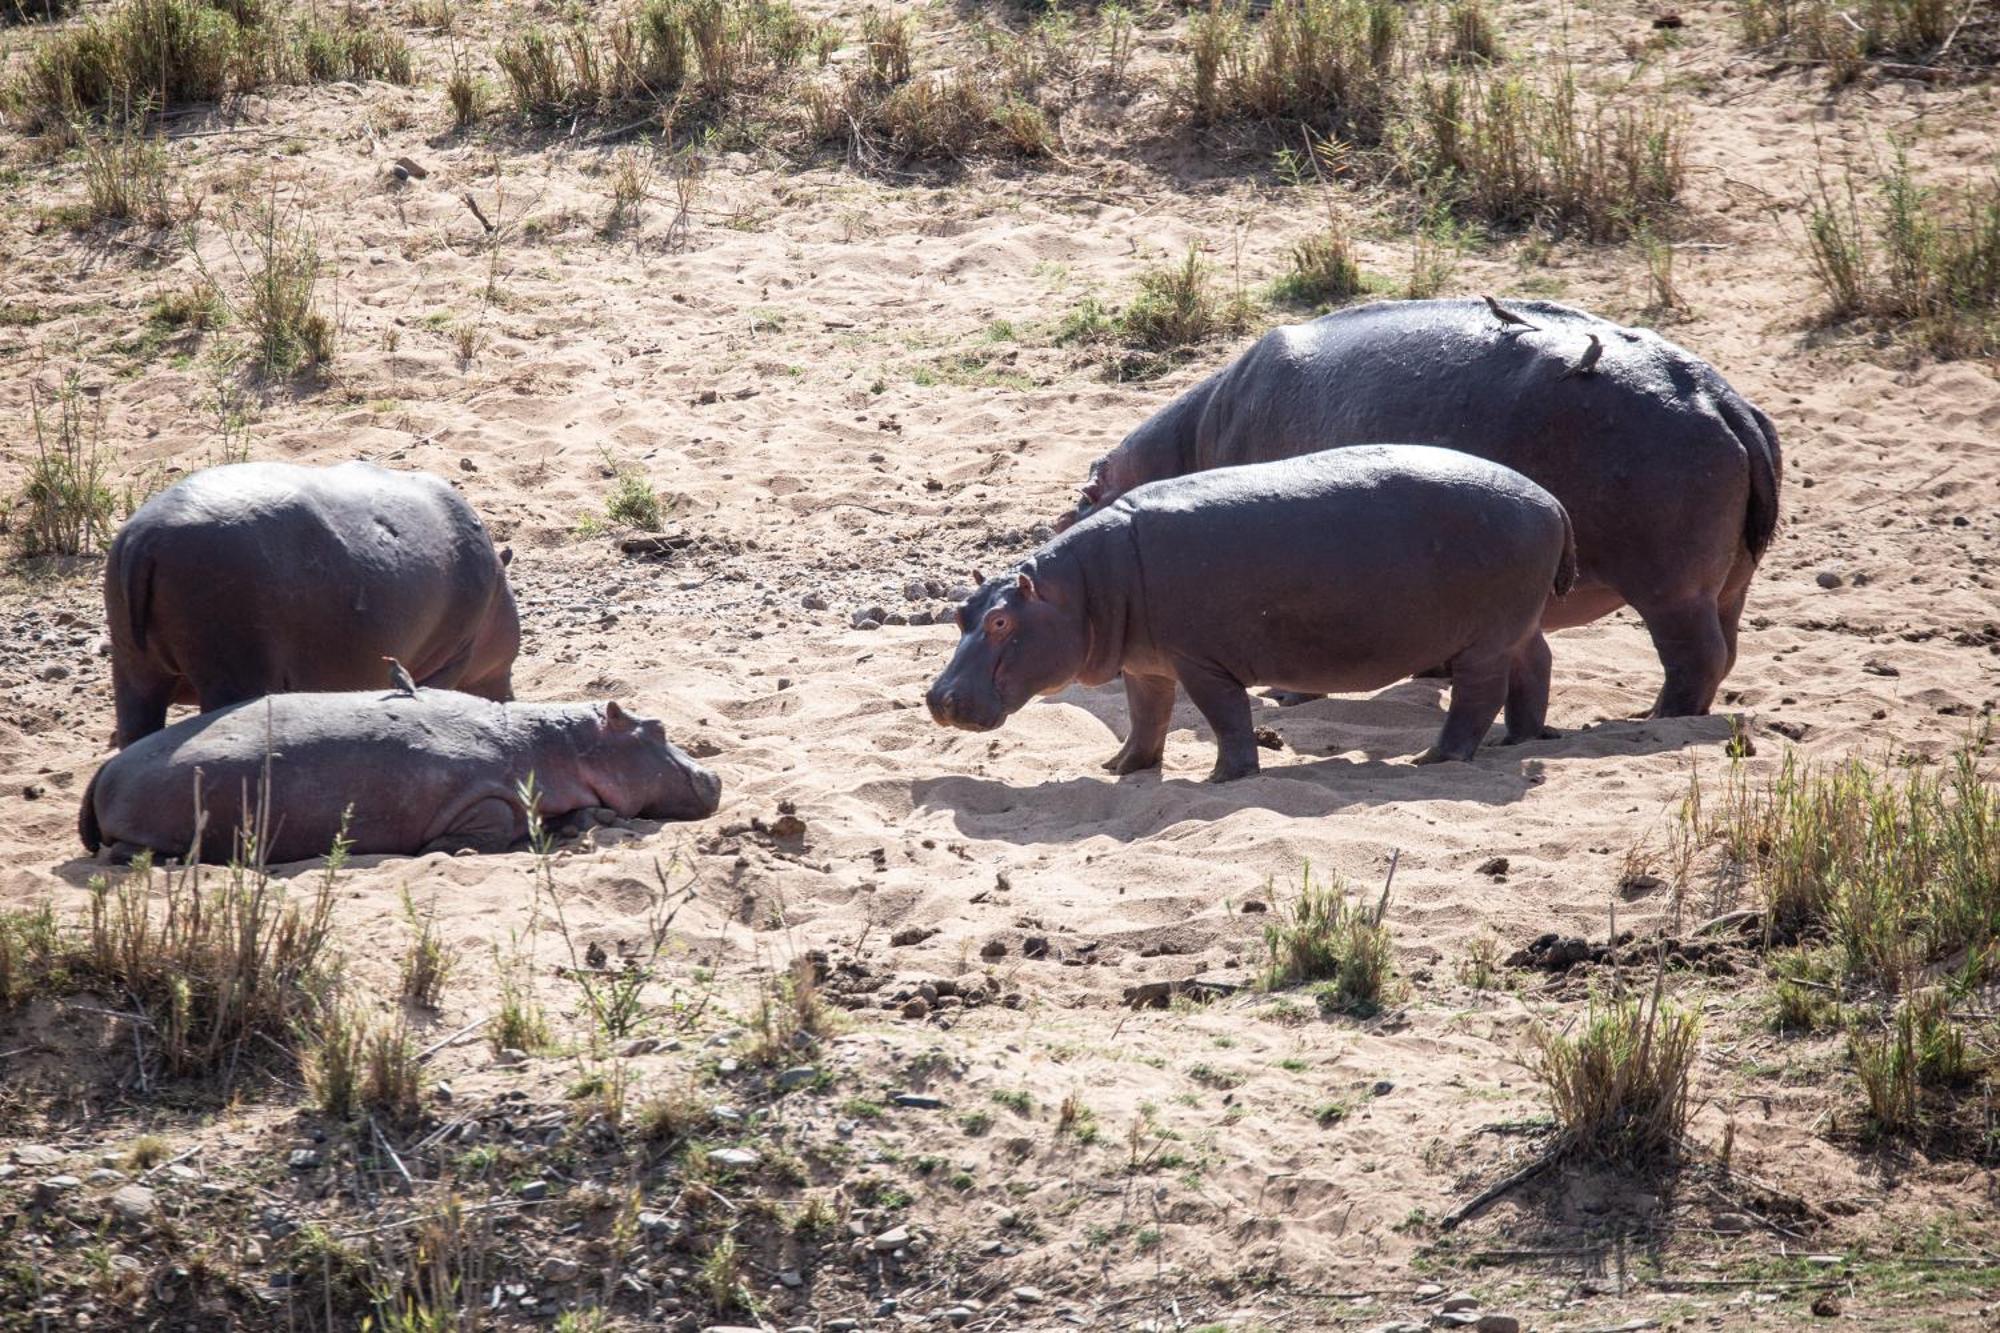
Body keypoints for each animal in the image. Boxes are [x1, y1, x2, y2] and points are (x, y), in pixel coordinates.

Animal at [78, 684, 724, 860]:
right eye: (657, 727)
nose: (715, 778)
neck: (557, 744)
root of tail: (102, 772)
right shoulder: (480, 796)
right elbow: (494, 823)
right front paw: (448, 851)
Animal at [924, 446, 1576, 780]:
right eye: (959, 611)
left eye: (1002, 621)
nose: (937, 699)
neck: (1080, 589)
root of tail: (1552, 501)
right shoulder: (1145, 664)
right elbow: (1146, 718)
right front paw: (1119, 768)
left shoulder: (1199, 661)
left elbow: (1227, 718)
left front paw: (1225, 777)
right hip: (1518, 624)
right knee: (1536, 663)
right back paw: (1520, 739)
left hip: (1484, 641)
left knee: (1477, 696)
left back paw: (1436, 757)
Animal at [1056, 298, 1792, 716]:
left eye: (1077, 504)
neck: (1190, 443)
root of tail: (1723, 397)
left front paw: (1285, 696)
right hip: (1728, 582)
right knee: (1726, 649)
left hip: (1670, 588)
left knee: (1694, 659)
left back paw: (1651, 720)